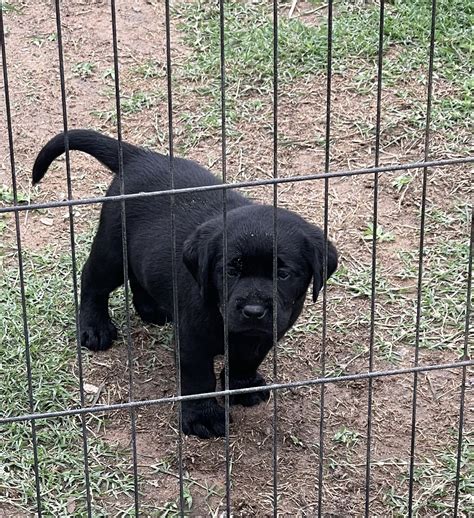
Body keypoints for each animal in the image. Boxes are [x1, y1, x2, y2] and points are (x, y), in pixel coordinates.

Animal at [33, 131, 336, 438]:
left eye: (283, 274)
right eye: (229, 271)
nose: (253, 311)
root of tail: (139, 156)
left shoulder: (265, 332)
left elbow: (247, 359)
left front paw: (242, 386)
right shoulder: (193, 339)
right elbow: (199, 379)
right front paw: (203, 417)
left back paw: (151, 309)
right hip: (113, 248)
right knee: (93, 280)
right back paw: (95, 328)